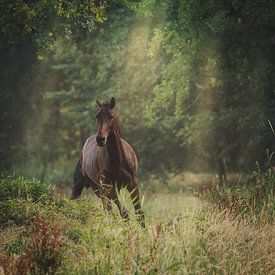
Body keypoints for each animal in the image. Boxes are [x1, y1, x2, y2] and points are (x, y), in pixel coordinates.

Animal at [70, 98, 146, 227]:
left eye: (111, 116)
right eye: (97, 116)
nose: (100, 139)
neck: (119, 161)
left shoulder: (133, 184)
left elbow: (139, 213)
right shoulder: (109, 187)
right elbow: (124, 213)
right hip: (90, 187)